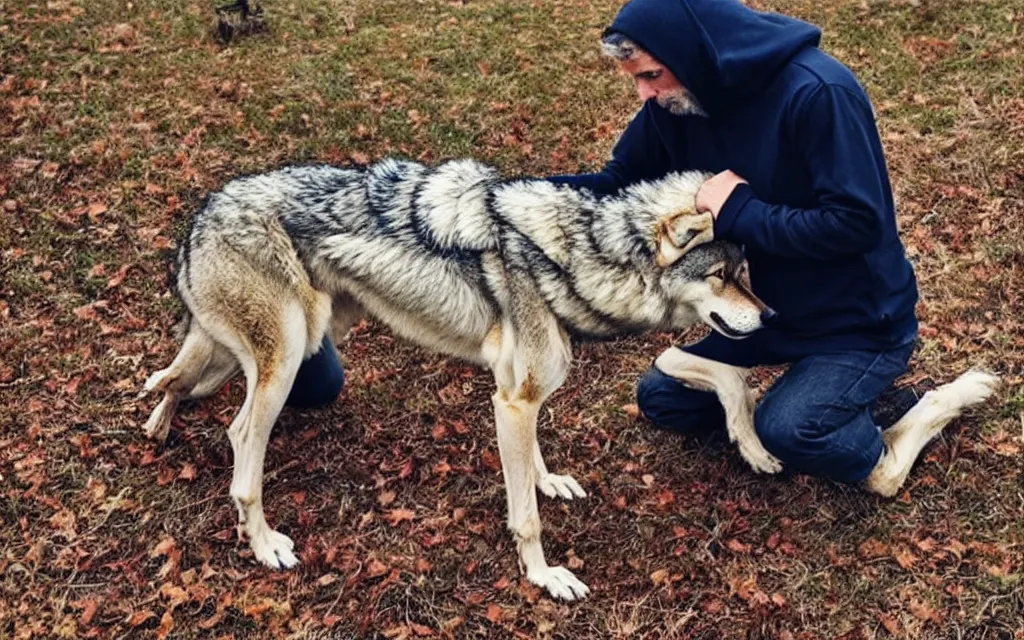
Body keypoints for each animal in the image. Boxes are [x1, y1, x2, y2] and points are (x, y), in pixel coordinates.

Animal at [138, 157, 774, 602]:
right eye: (720, 275)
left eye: (746, 272)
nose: (770, 316)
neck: (574, 257)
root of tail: (200, 216)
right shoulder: (513, 402)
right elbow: (526, 519)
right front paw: (545, 577)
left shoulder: (517, 396)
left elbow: (534, 461)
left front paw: (549, 482)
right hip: (288, 358)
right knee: (240, 437)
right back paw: (264, 543)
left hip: (268, 349)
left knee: (171, 382)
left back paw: (157, 427)